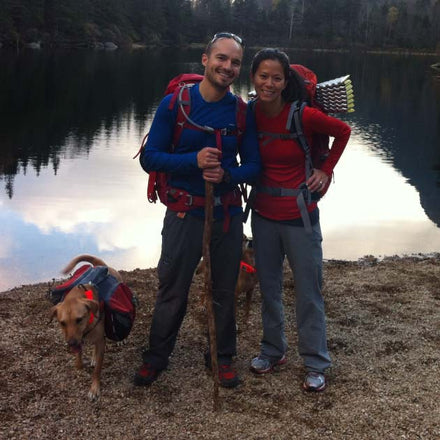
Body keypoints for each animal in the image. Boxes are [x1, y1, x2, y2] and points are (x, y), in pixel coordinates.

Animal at [50, 254, 122, 400]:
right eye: (62, 323)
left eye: (79, 319)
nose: (71, 343)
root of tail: (100, 265)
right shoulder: (80, 339)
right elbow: (79, 361)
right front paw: (80, 363)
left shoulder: (99, 340)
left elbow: (97, 369)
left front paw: (94, 388)